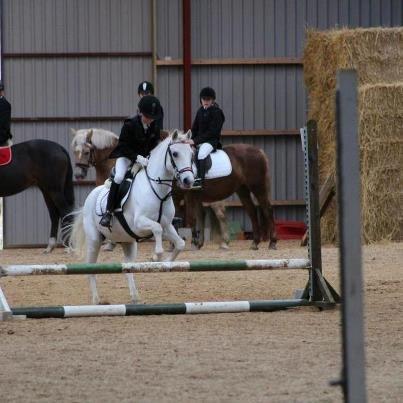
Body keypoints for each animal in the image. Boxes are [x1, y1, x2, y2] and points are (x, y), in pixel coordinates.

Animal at [70, 131, 196, 304]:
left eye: (191, 154)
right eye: (175, 154)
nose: (188, 181)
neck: (157, 188)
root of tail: (91, 195)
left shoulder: (168, 226)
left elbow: (180, 243)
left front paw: (166, 262)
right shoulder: (140, 223)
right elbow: (156, 229)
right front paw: (155, 256)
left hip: (128, 241)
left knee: (127, 266)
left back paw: (135, 297)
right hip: (95, 240)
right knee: (91, 267)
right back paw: (96, 300)